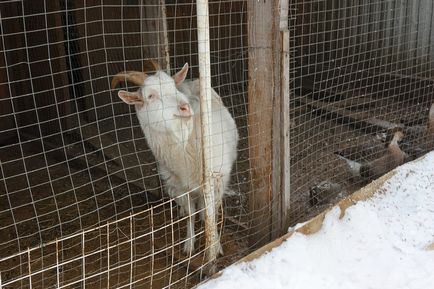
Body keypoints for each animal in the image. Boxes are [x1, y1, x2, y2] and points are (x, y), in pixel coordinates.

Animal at [112, 62, 239, 253]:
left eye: (173, 87)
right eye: (150, 96)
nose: (185, 107)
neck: (186, 143)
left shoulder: (217, 180)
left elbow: (214, 213)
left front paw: (214, 246)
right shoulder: (179, 187)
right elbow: (189, 215)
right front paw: (189, 244)